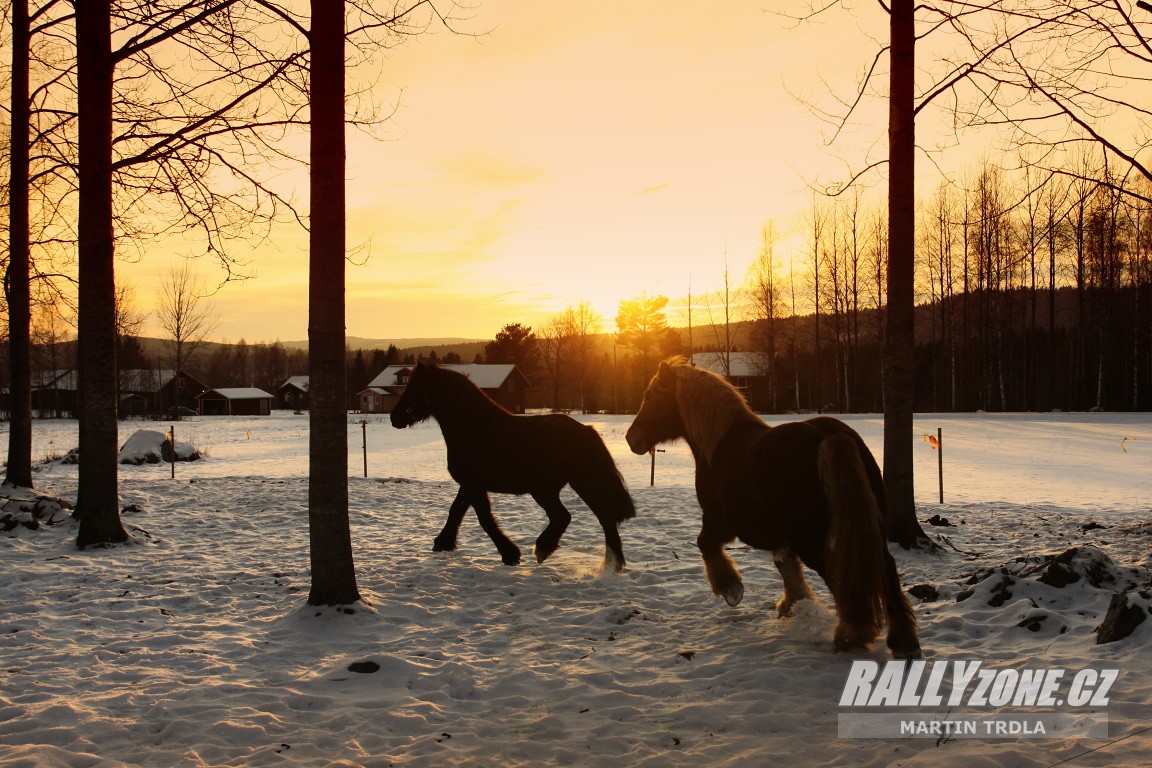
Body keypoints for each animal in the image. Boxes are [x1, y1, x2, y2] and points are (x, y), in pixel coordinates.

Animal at [391, 363, 635, 573]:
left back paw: (557, 552)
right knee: (586, 518)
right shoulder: (471, 485)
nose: (395, 418)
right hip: (561, 487)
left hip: (558, 487)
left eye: (415, 388)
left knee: (582, 517)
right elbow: (458, 512)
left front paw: (510, 554)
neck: (474, 428)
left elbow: (482, 519)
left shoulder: (472, 484)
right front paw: (444, 542)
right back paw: (607, 564)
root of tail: (586, 431)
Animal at [626, 356, 921, 658]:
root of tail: (830, 437)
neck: (721, 445)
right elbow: (786, 566)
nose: (631, 438)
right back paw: (902, 642)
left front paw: (732, 589)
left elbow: (705, 545)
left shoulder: (719, 522)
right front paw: (792, 602)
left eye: (651, 395)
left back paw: (852, 636)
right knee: (886, 568)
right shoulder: (780, 535)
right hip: (865, 528)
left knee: (842, 577)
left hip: (812, 540)